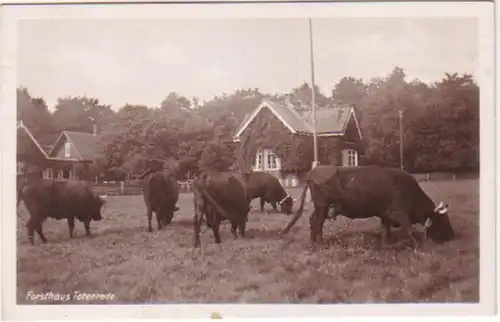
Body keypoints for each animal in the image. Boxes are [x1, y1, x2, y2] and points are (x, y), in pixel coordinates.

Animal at [280, 166, 456, 249]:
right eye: (443, 219)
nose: (453, 236)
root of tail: (313, 172)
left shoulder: (386, 215)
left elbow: (385, 233)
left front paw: (387, 246)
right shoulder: (399, 213)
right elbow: (411, 230)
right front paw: (418, 247)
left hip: (320, 208)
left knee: (313, 221)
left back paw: (314, 243)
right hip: (322, 206)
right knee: (317, 223)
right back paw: (320, 244)